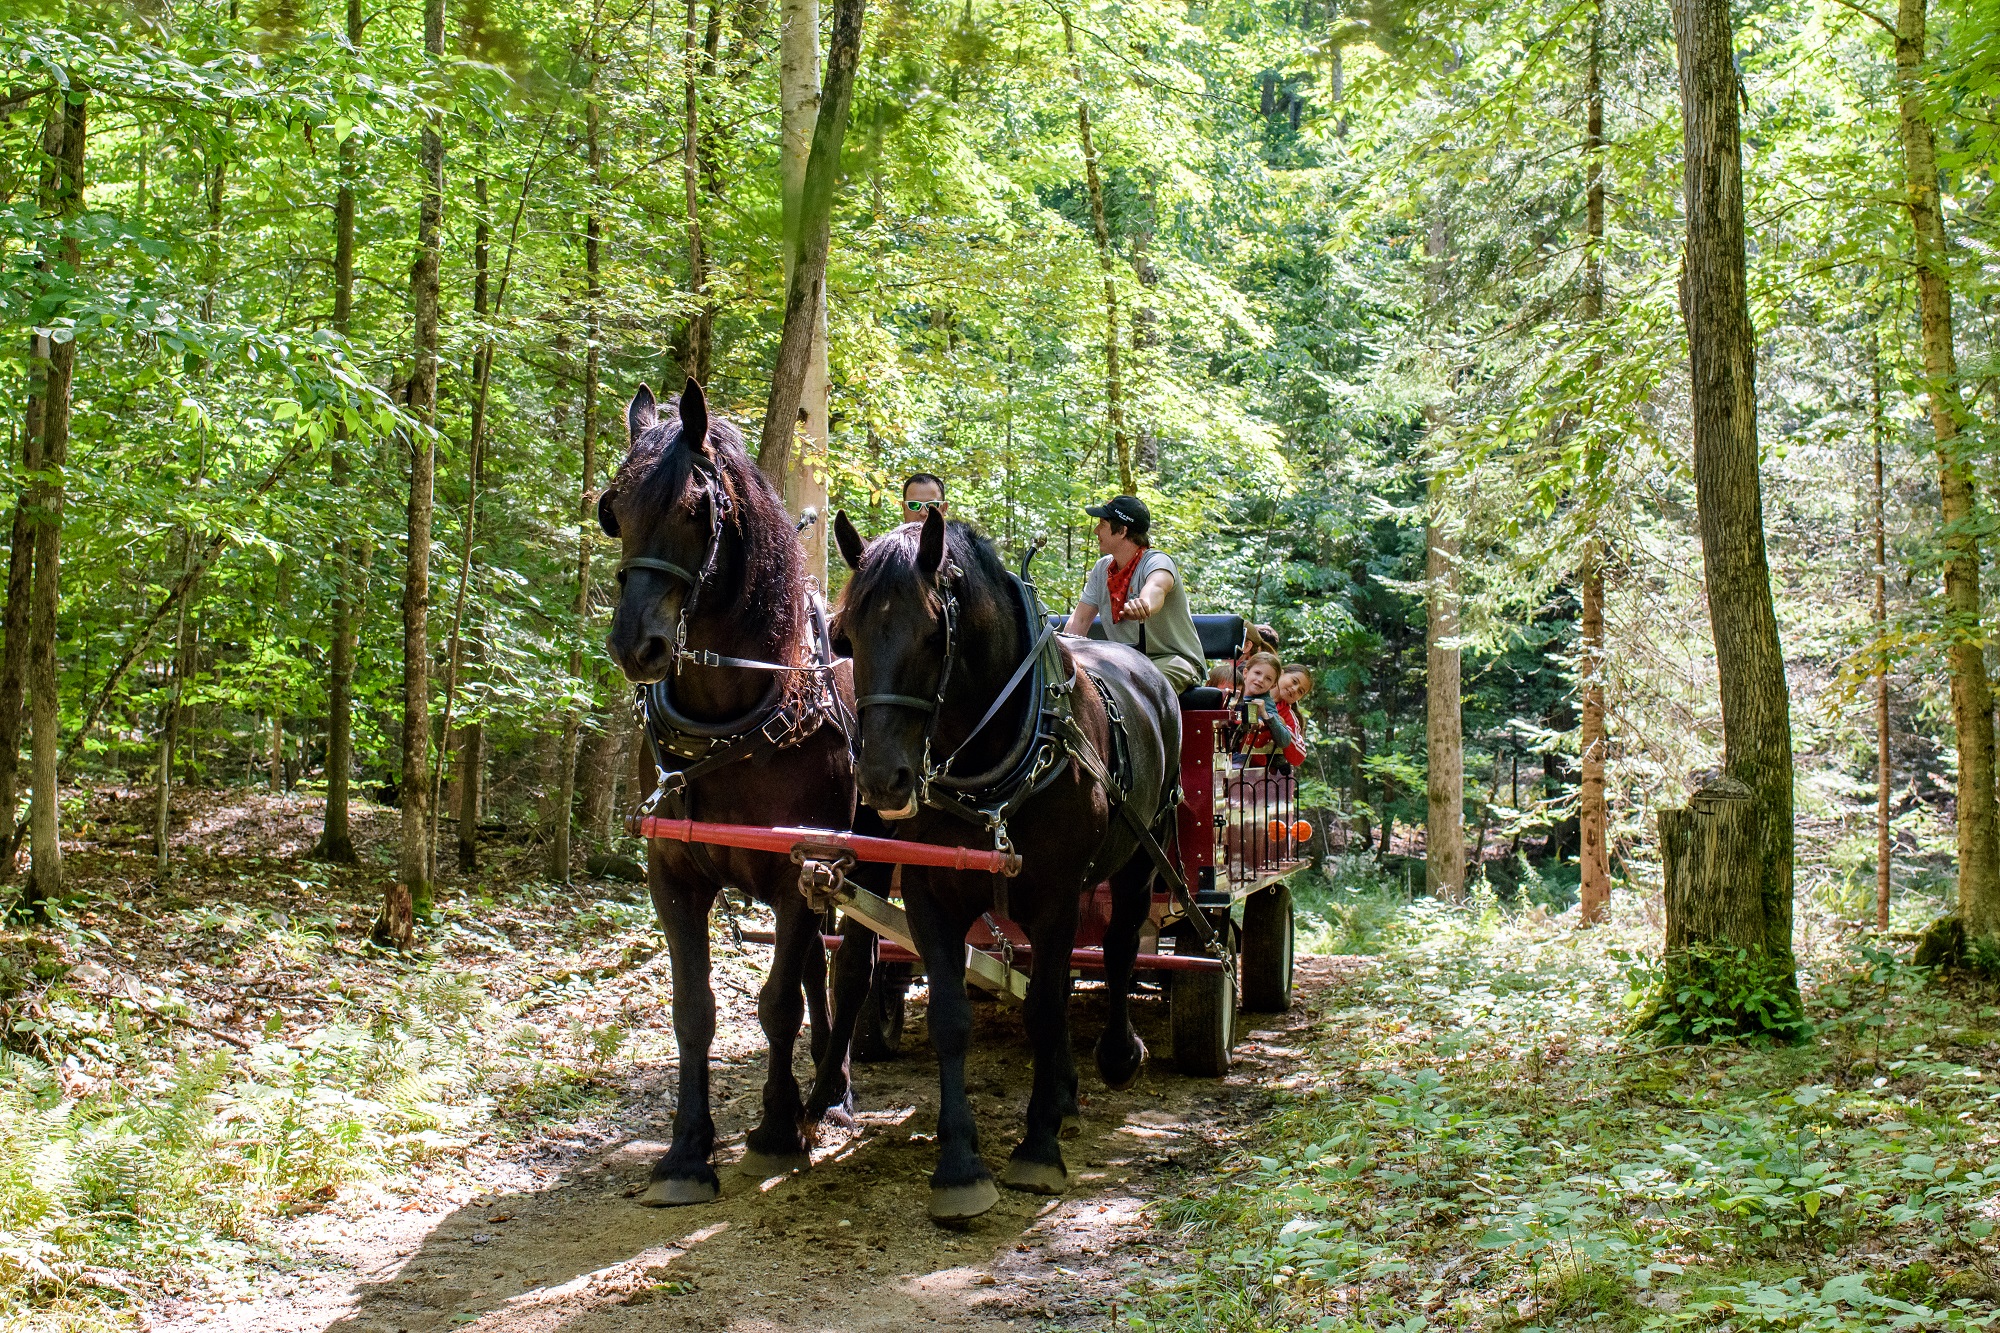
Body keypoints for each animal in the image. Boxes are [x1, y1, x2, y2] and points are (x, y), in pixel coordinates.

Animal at [600, 380, 882, 1205]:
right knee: (822, 966)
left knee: (853, 968)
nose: (635, 645)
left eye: (698, 507)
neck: (734, 718)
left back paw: (830, 1091)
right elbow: (695, 1009)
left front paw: (777, 1129)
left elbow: (776, 1002)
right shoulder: (672, 874)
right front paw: (687, 1149)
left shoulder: (798, 868)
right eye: (613, 508)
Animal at [829, 506, 1181, 1222]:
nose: (880, 780)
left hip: (1141, 852)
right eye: (847, 635)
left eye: (932, 634)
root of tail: (1144, 666)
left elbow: (1044, 1008)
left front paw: (1038, 1147)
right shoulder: (931, 892)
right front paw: (959, 1166)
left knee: (1121, 948)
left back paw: (1114, 1054)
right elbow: (950, 1018)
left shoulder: (1054, 895)